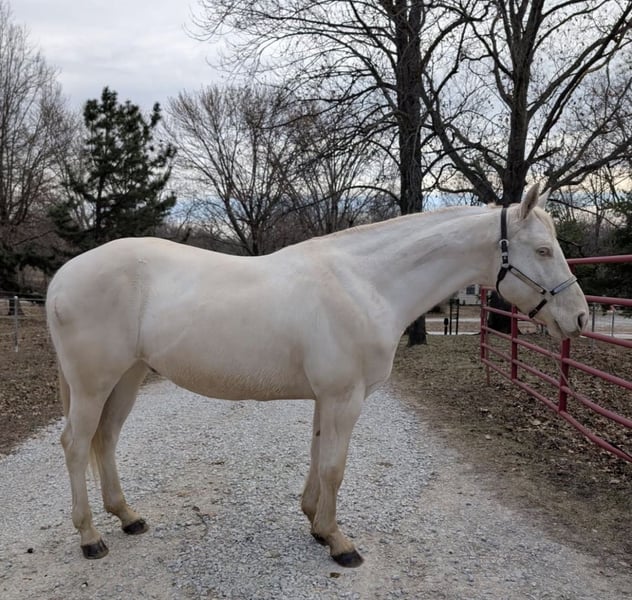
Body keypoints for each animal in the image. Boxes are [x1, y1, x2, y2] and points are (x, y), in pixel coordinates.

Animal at [45, 184, 588, 567]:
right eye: (543, 250)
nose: (580, 318)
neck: (364, 284)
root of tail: (63, 276)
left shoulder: (326, 399)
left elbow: (317, 456)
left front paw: (314, 523)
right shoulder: (345, 397)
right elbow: (334, 467)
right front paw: (339, 542)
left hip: (127, 377)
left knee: (106, 439)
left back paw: (127, 517)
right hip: (94, 382)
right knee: (76, 444)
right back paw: (91, 537)